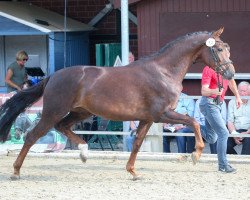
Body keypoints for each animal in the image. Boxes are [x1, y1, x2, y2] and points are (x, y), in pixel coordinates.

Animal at [0, 27, 234, 180]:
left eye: (227, 48)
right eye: (219, 50)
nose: (230, 73)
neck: (163, 72)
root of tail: (53, 76)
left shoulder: (147, 119)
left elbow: (138, 143)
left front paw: (133, 171)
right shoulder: (162, 114)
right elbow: (193, 122)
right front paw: (195, 154)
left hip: (80, 112)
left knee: (63, 127)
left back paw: (84, 152)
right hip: (54, 111)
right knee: (32, 136)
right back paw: (16, 171)